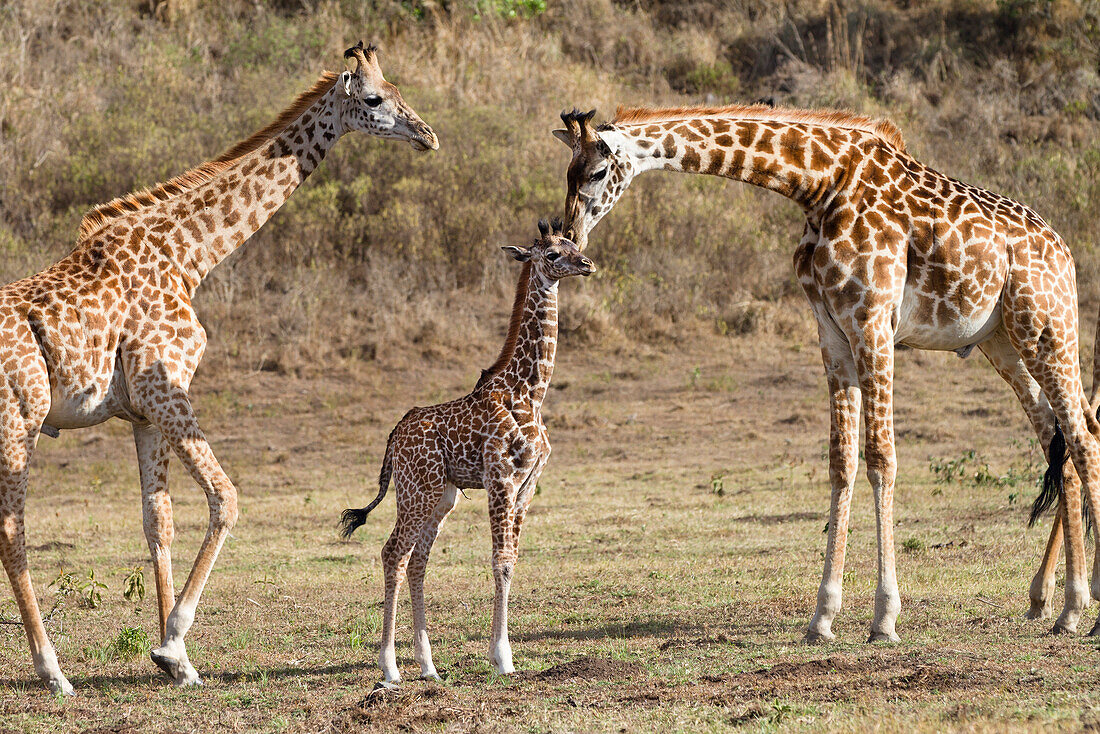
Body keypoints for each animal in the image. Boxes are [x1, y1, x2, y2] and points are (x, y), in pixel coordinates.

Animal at [0, 40, 437, 695]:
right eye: (374, 98)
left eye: (399, 90)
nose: (427, 135)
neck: (190, 255)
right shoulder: (167, 389)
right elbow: (226, 498)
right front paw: (173, 639)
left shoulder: (144, 411)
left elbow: (158, 522)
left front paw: (175, 660)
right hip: (19, 422)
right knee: (13, 530)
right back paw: (53, 671)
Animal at [341, 217, 598, 682]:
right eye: (553, 254)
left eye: (573, 244)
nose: (587, 264)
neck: (530, 392)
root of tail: (394, 435)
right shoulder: (501, 479)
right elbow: (500, 560)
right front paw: (502, 657)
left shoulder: (528, 485)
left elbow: (513, 559)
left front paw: (503, 654)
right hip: (416, 491)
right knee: (393, 553)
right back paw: (390, 667)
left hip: (441, 496)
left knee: (418, 560)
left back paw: (428, 667)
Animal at [554, 104, 1100, 642]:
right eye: (567, 172)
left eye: (597, 172)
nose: (570, 238)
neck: (818, 184)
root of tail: (1065, 252)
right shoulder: (832, 334)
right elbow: (841, 462)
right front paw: (822, 616)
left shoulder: (873, 322)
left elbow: (881, 458)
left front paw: (884, 618)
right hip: (1004, 343)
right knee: (1064, 440)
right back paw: (1065, 606)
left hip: (1048, 330)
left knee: (1082, 437)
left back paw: (1082, 609)